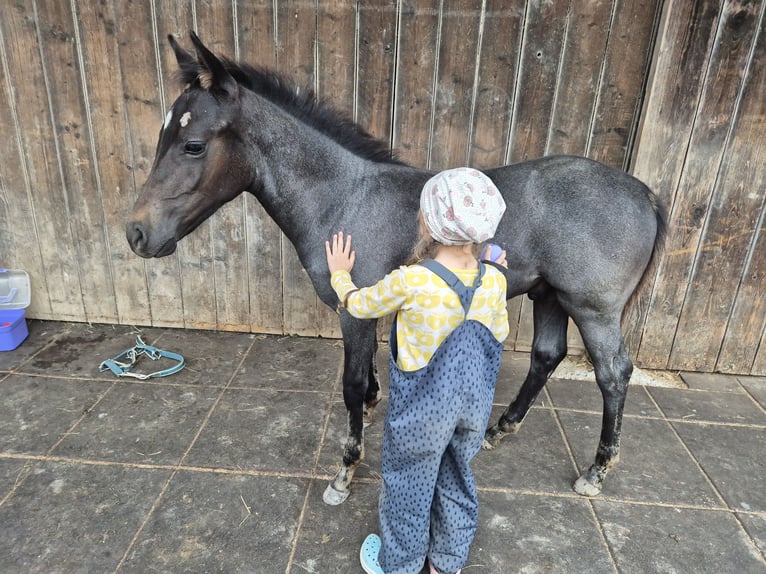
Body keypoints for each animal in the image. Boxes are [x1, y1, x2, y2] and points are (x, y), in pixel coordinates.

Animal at [127, 32, 666, 505]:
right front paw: (371, 409)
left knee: (613, 374)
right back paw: (499, 429)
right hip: (550, 295)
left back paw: (596, 471)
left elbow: (349, 383)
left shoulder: (353, 309)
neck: (344, 197)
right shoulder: (366, 306)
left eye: (194, 144)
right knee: (547, 355)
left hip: (592, 308)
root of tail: (644, 193)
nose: (136, 235)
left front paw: (345, 470)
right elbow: (365, 377)